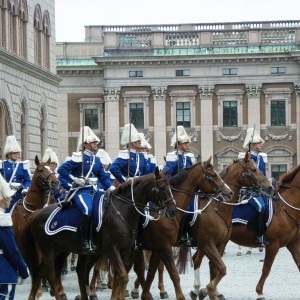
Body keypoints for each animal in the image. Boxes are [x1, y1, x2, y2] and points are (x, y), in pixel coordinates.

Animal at [21, 168, 178, 300]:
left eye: (170, 186)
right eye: (161, 187)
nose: (173, 211)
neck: (122, 210)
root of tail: (36, 214)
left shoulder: (126, 251)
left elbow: (121, 277)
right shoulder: (112, 249)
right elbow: (124, 276)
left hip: (62, 250)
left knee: (51, 272)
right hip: (48, 249)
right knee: (51, 275)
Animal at [192, 164, 300, 300]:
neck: (285, 208)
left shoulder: (293, 244)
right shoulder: (273, 245)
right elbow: (266, 268)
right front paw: (259, 292)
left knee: (212, 264)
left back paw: (212, 291)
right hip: (208, 241)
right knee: (197, 259)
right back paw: (197, 290)